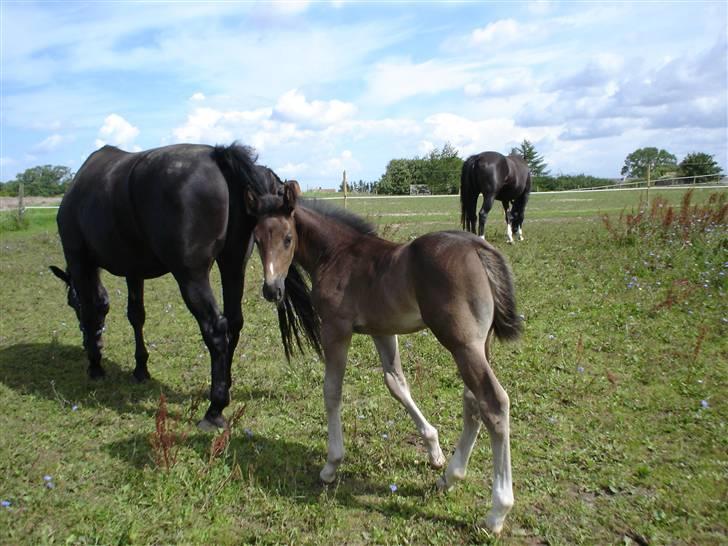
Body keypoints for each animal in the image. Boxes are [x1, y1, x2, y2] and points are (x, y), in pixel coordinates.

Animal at [49, 143, 320, 430]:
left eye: (71, 303)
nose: (88, 347)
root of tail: (218, 154)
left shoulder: (78, 259)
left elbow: (91, 310)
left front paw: (95, 365)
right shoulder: (133, 271)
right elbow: (136, 315)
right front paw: (140, 368)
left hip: (192, 276)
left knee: (216, 329)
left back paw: (215, 409)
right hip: (233, 264)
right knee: (233, 323)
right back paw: (224, 385)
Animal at [247, 183, 520, 532]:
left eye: (287, 238)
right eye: (256, 239)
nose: (272, 290)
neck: (335, 254)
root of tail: (477, 245)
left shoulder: (336, 329)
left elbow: (332, 391)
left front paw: (331, 465)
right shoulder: (382, 330)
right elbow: (396, 383)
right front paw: (434, 450)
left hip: (462, 344)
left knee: (493, 403)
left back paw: (497, 510)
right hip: (478, 344)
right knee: (473, 400)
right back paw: (450, 476)